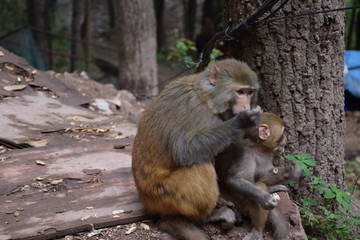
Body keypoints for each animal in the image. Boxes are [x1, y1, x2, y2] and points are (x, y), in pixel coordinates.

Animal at [132, 58, 262, 240]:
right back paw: (206, 216)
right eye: (240, 92)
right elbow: (183, 149)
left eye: (250, 92)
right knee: (200, 166)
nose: (246, 106)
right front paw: (242, 122)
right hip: (164, 195)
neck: (207, 98)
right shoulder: (193, 109)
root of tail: (146, 201)